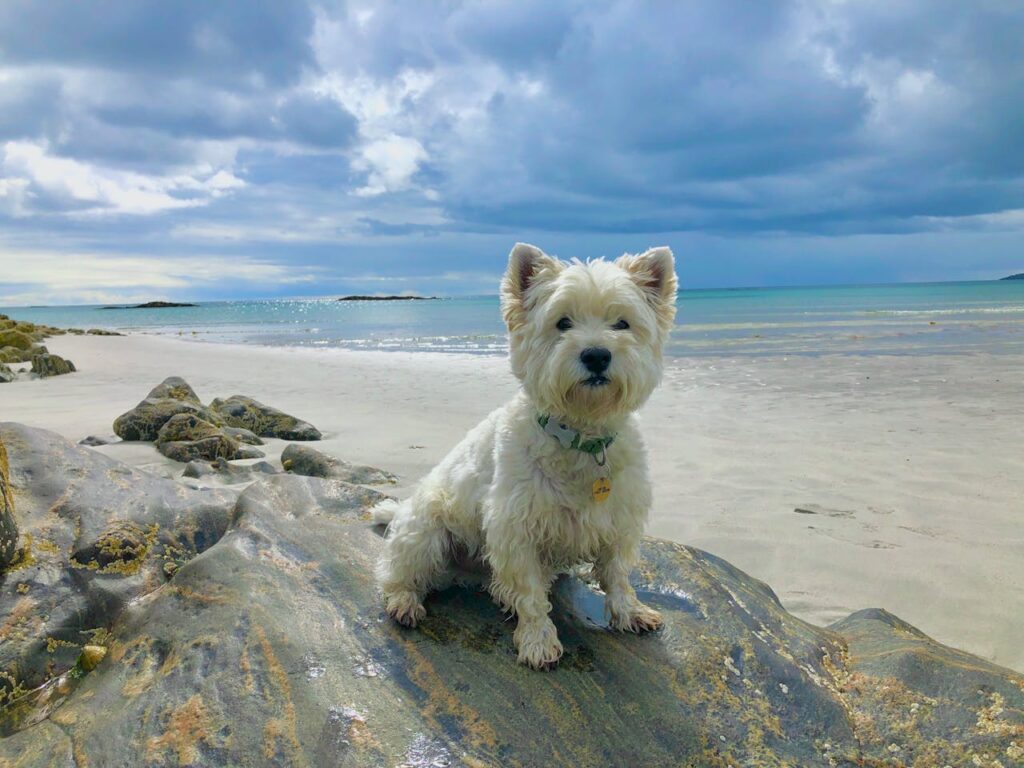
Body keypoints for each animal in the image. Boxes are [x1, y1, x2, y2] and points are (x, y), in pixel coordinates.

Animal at [372, 244, 675, 667]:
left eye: (622, 323)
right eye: (562, 322)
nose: (596, 355)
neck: (580, 435)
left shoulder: (619, 519)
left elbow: (616, 575)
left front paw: (630, 613)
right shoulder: (515, 528)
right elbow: (530, 594)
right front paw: (538, 641)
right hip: (426, 532)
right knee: (396, 572)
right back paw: (404, 602)